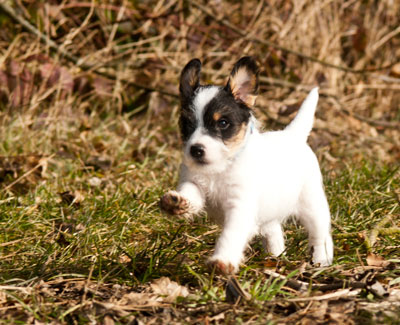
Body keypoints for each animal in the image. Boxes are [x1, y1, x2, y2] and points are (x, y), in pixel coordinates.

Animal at [161, 57, 332, 272]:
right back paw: (275, 256)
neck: (220, 169)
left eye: (223, 123)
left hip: (313, 205)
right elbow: (191, 193)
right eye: (187, 124)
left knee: (321, 234)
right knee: (273, 229)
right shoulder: (196, 185)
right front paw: (177, 202)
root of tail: (292, 135)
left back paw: (322, 259)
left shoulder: (240, 207)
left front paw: (222, 260)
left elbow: (231, 235)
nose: (196, 150)